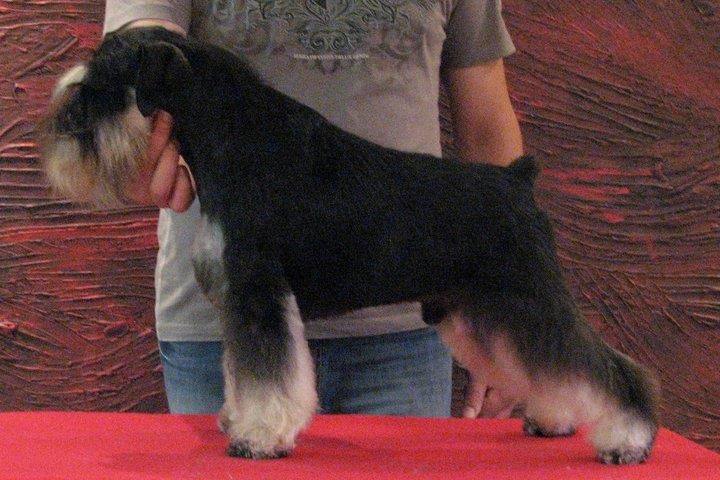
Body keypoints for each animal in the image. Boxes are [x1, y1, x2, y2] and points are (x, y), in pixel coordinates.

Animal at [39, 27, 659, 464]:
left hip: (528, 298)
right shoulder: (243, 301)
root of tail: (518, 179)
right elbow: (241, 371)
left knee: (601, 366)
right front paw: (240, 421)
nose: (60, 126)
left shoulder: (259, 293)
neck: (233, 139)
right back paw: (554, 418)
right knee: (554, 368)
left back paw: (626, 441)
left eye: (102, 80)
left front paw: (260, 437)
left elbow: (269, 375)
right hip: (485, 313)